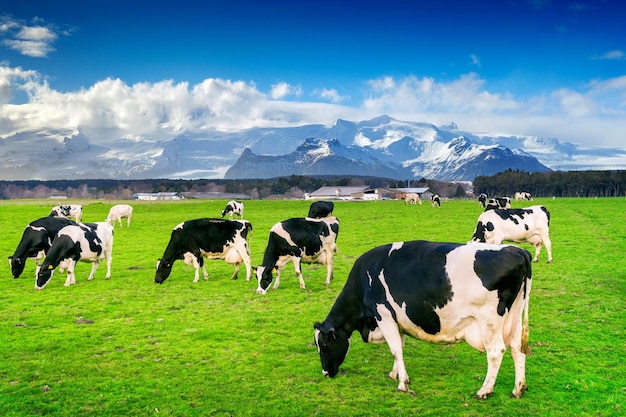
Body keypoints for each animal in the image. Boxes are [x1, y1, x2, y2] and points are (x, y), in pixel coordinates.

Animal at [312, 242, 532, 398]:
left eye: (324, 344)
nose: (325, 373)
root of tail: (517, 250)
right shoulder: (396, 320)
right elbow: (399, 346)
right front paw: (395, 374)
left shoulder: (384, 315)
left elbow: (395, 349)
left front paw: (402, 384)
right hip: (515, 316)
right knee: (517, 349)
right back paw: (518, 389)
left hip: (489, 320)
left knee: (495, 352)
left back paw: (484, 391)